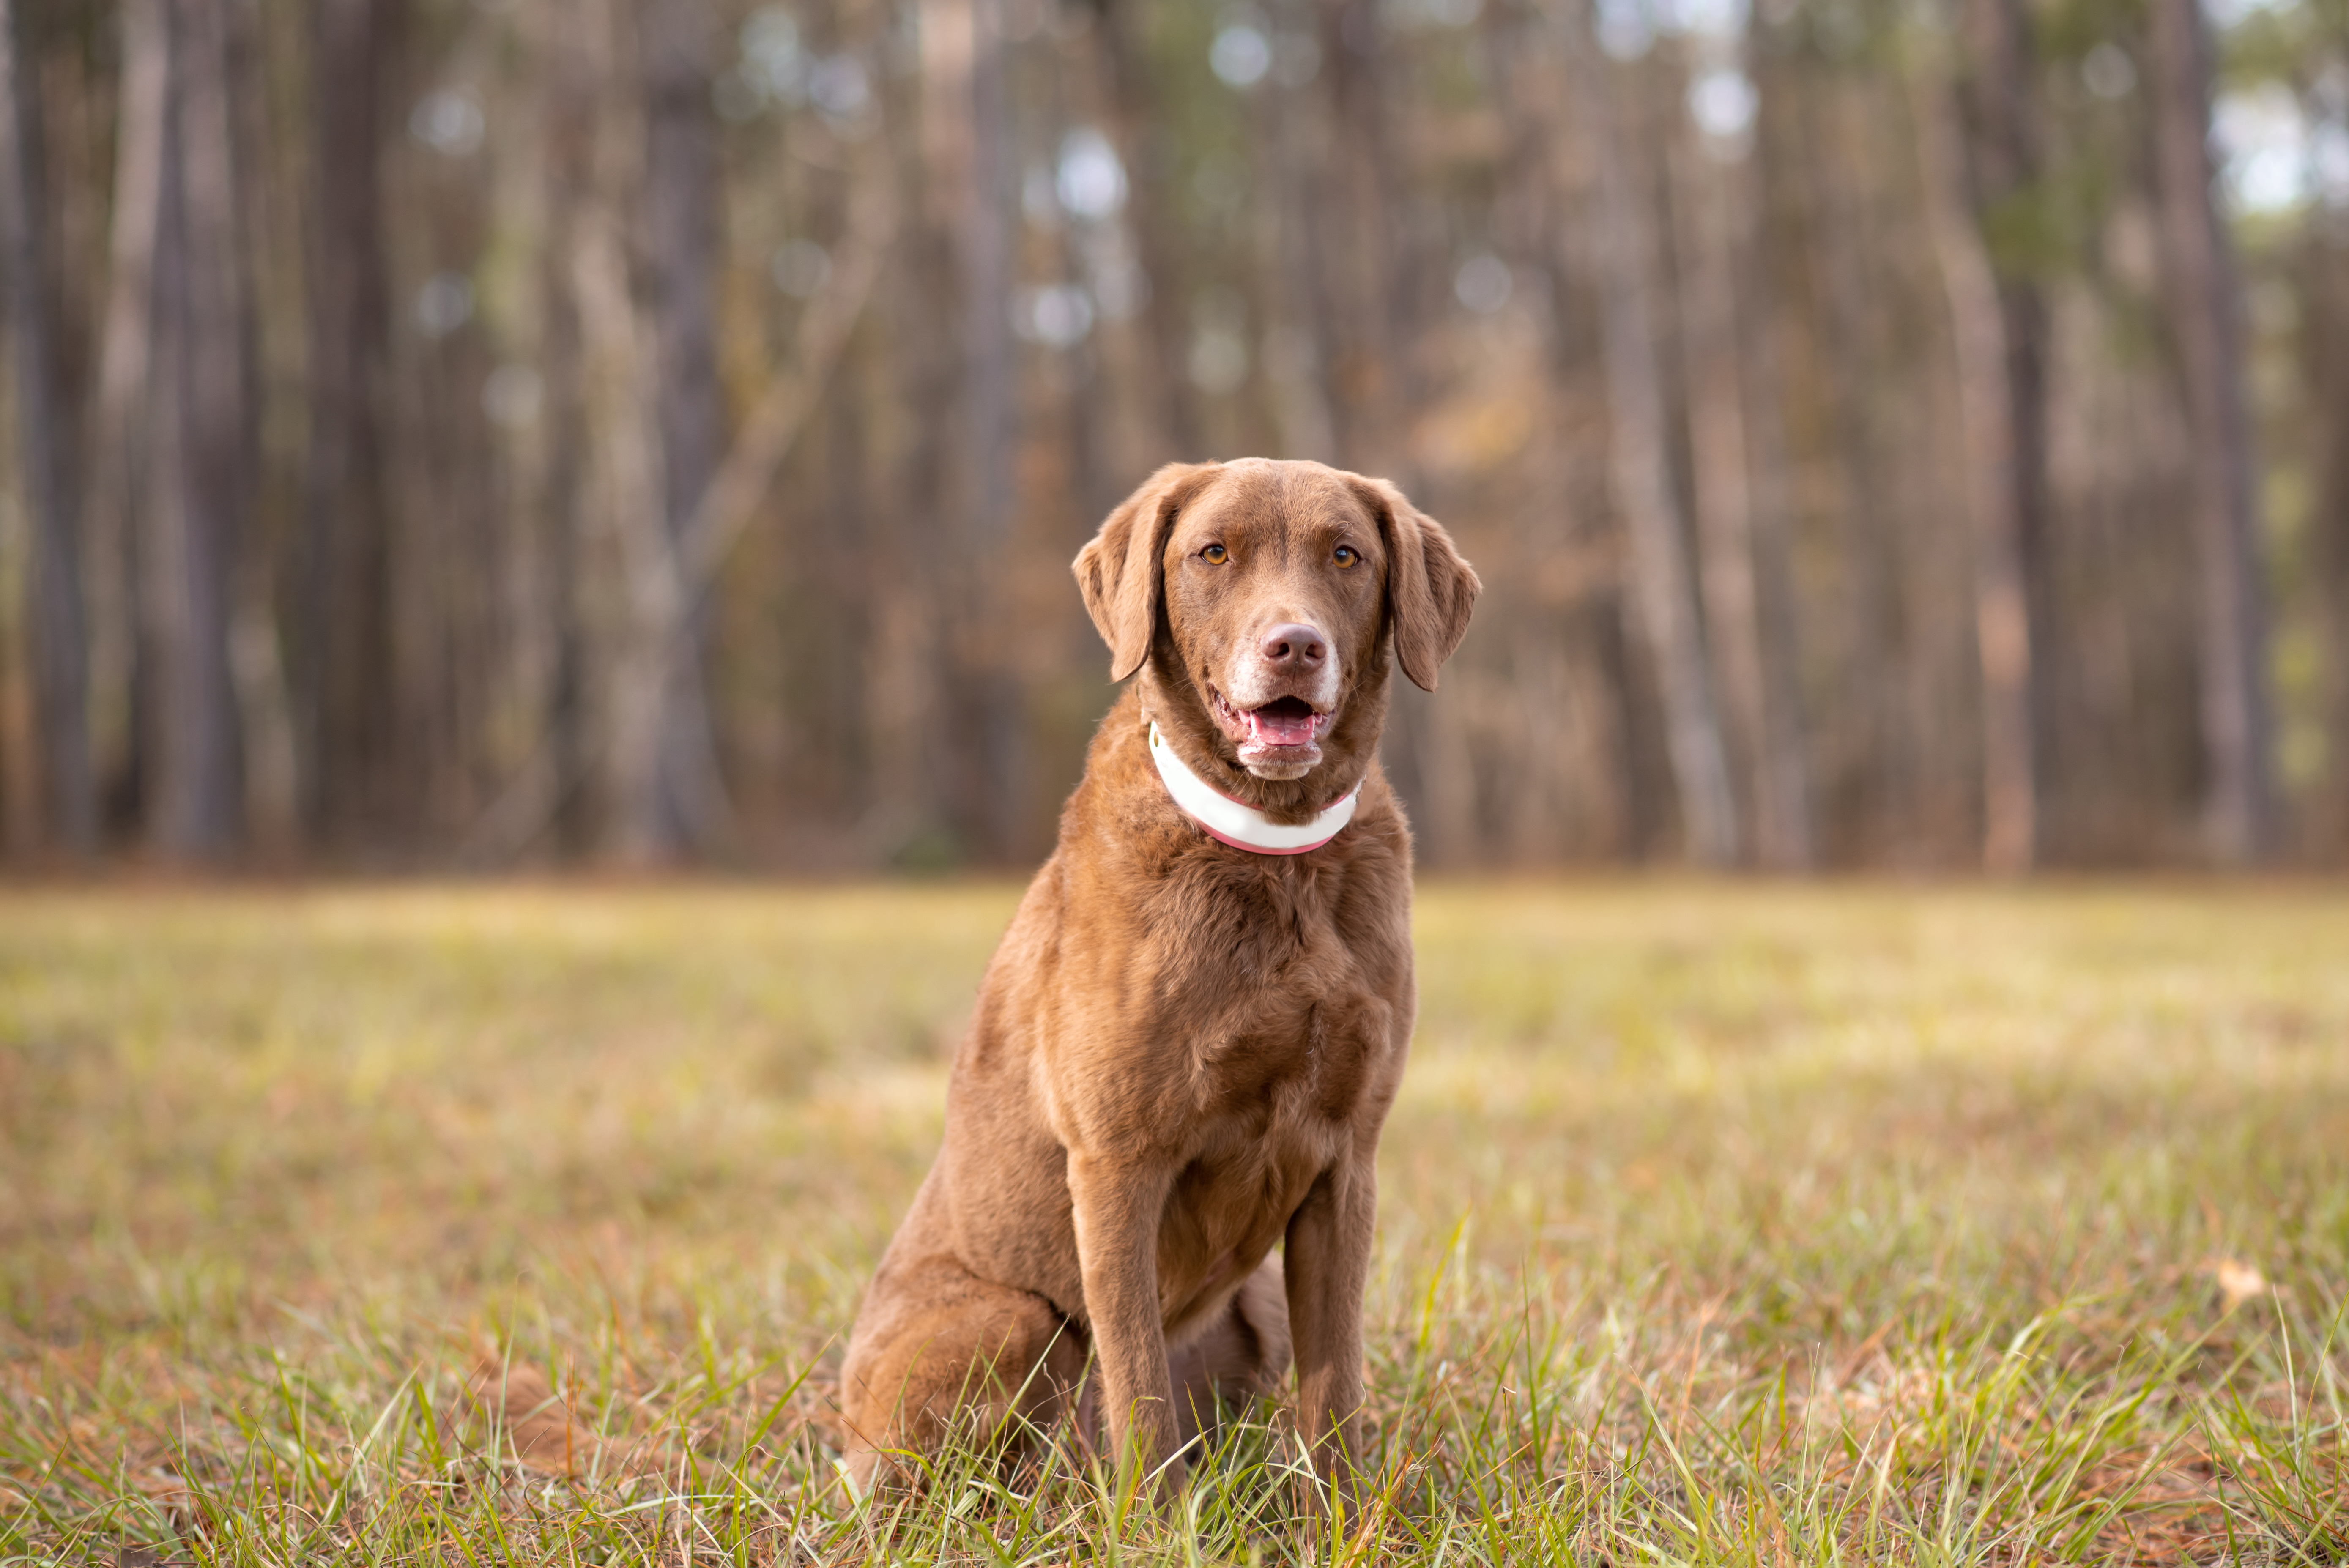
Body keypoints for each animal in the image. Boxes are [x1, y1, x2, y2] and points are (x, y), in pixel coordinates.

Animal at [841, 460, 1465, 1502]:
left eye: (1347, 553)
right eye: (1212, 553)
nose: (1294, 645)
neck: (1274, 860)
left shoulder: (1347, 1162)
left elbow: (1334, 1379)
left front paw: (1340, 1515)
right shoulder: (1118, 1160)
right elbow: (1134, 1381)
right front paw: (1153, 1519)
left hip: (1253, 1305)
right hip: (1006, 1320)